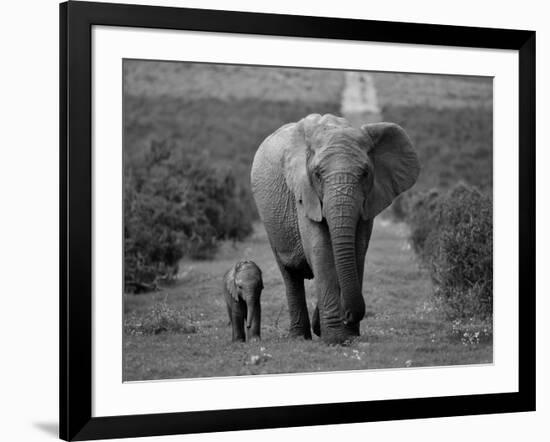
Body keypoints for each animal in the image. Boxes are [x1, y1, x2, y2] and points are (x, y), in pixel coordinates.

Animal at [252, 112, 420, 344]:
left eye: (365, 173)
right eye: (317, 174)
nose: (348, 315)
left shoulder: (369, 200)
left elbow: (357, 250)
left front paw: (347, 335)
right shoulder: (305, 194)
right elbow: (321, 250)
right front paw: (335, 339)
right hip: (270, 221)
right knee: (290, 274)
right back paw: (299, 337)